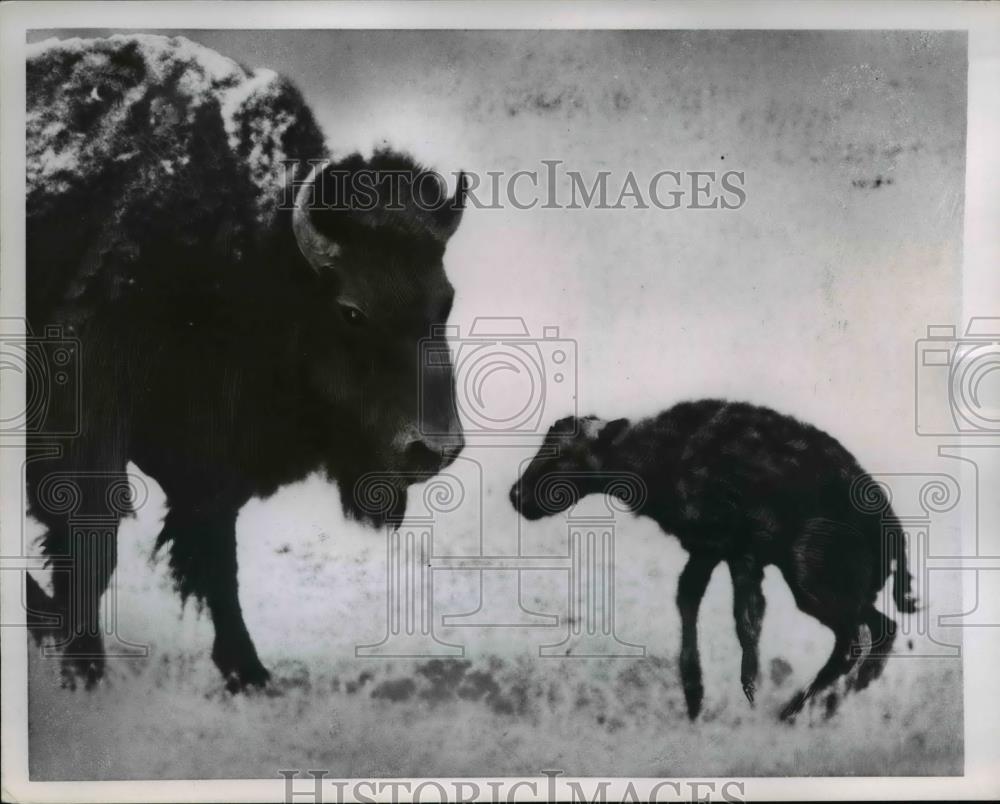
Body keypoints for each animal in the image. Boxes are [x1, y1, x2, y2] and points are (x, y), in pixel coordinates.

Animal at [24, 34, 468, 692]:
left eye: (446, 299)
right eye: (352, 311)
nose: (433, 450)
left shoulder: (211, 453)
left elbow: (216, 550)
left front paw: (249, 672)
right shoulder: (89, 416)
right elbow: (95, 538)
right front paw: (84, 668)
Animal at [512, 402, 916, 724]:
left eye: (565, 454)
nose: (517, 496)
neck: (658, 450)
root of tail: (892, 526)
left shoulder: (734, 549)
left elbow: (743, 618)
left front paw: (747, 695)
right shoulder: (716, 551)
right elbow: (698, 601)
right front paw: (697, 696)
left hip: (812, 579)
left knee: (856, 639)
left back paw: (794, 711)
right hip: (840, 587)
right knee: (881, 629)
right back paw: (830, 705)